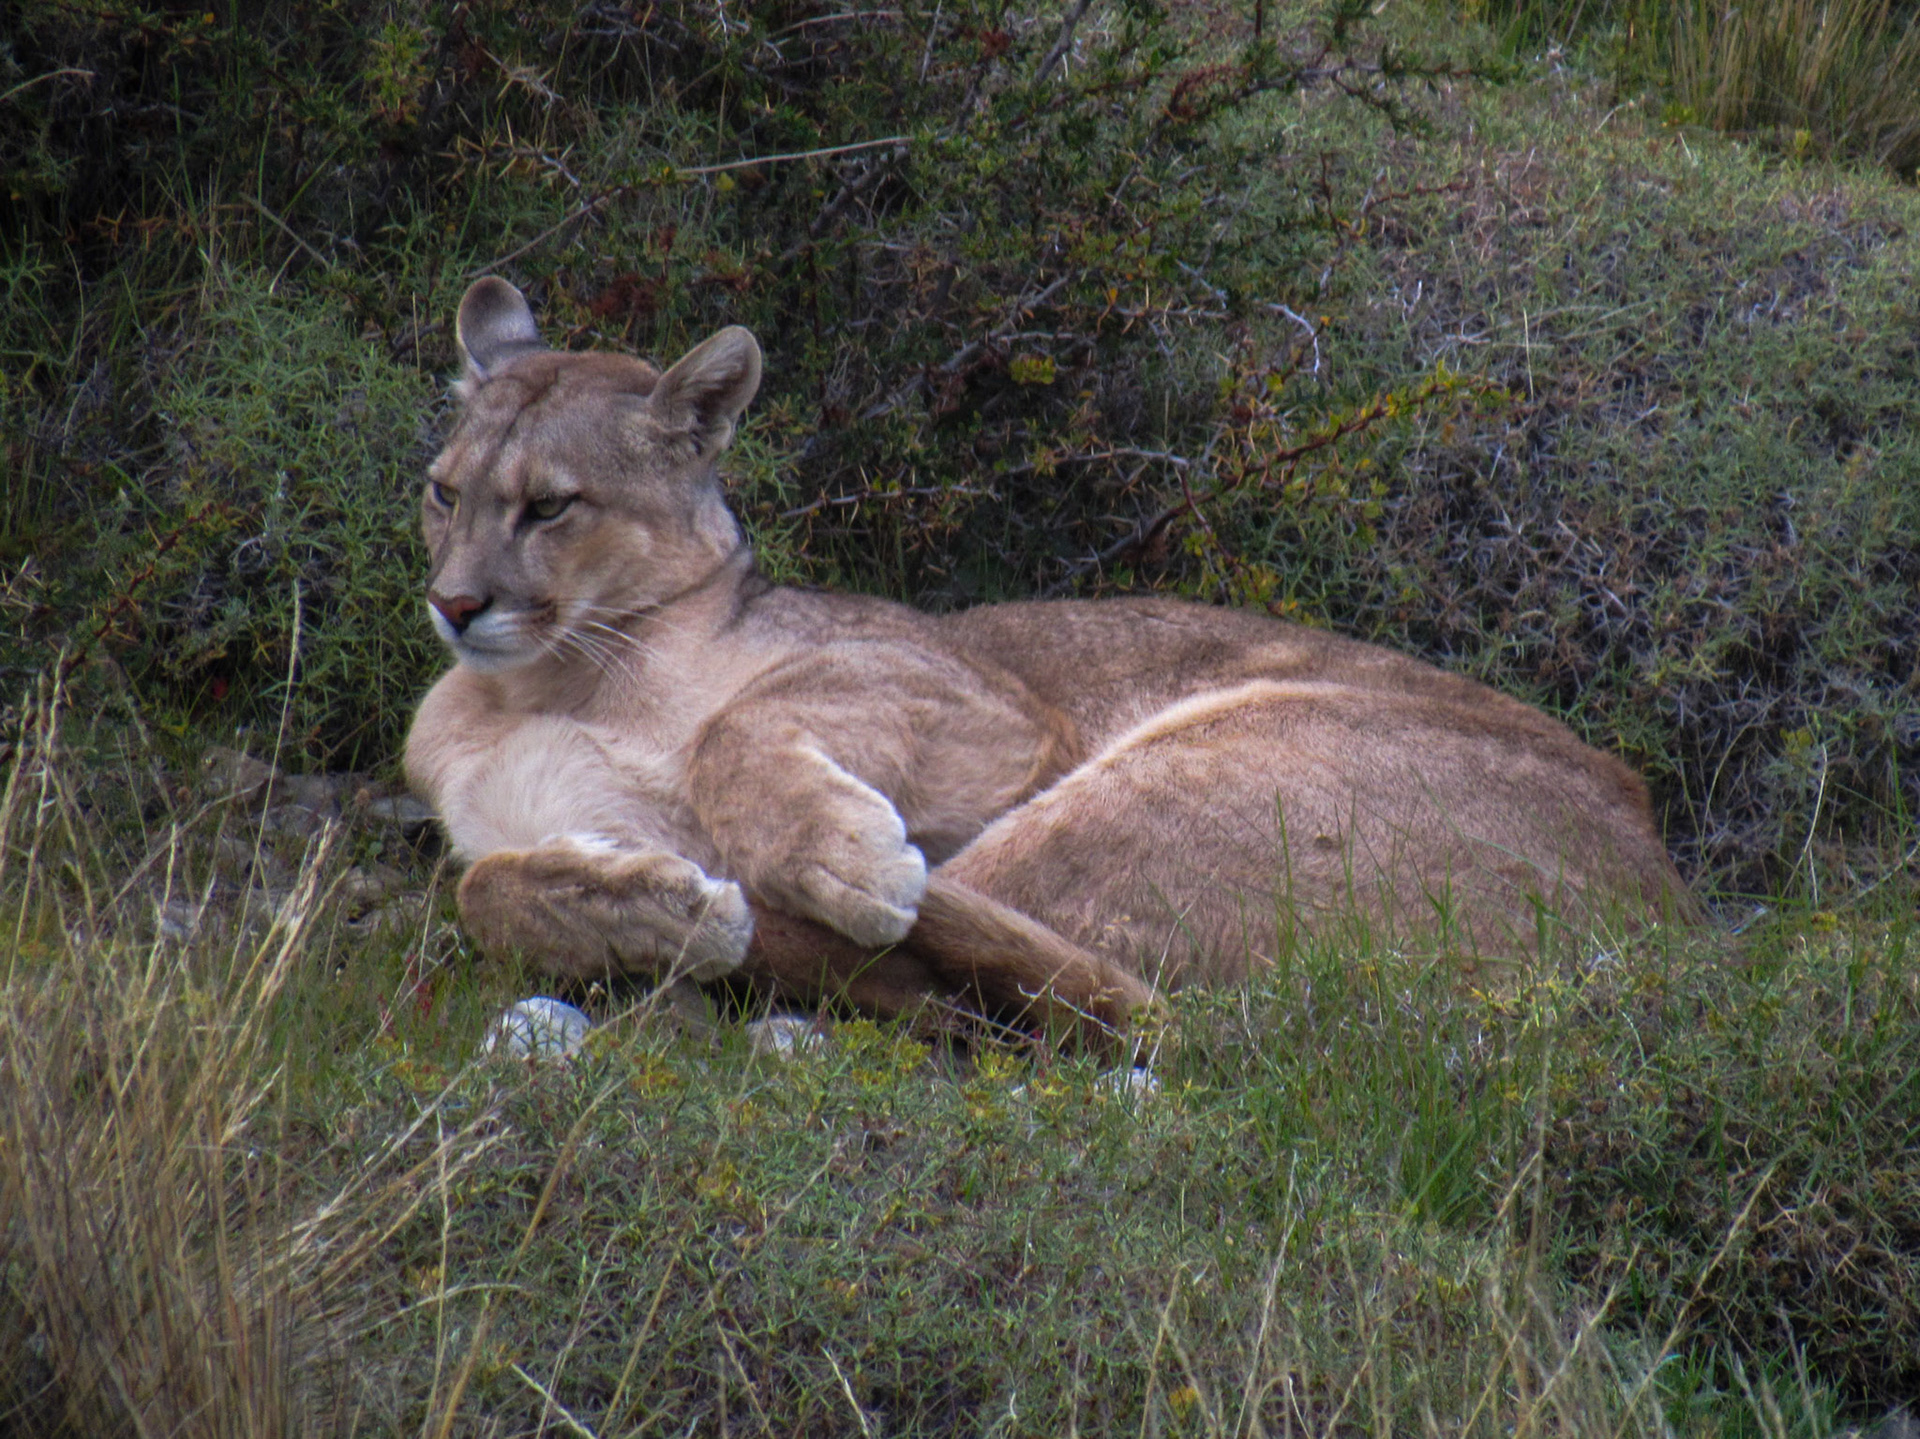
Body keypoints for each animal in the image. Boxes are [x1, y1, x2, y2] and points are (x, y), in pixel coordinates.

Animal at [404, 278, 1693, 1042]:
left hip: (1183, 770)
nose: (456, 602)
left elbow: (740, 726)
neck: (542, 680)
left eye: (551, 506)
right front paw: (644, 902)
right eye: (444, 491)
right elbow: (483, 885)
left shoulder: (993, 703)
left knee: (1096, 994)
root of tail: (1672, 902)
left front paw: (830, 858)